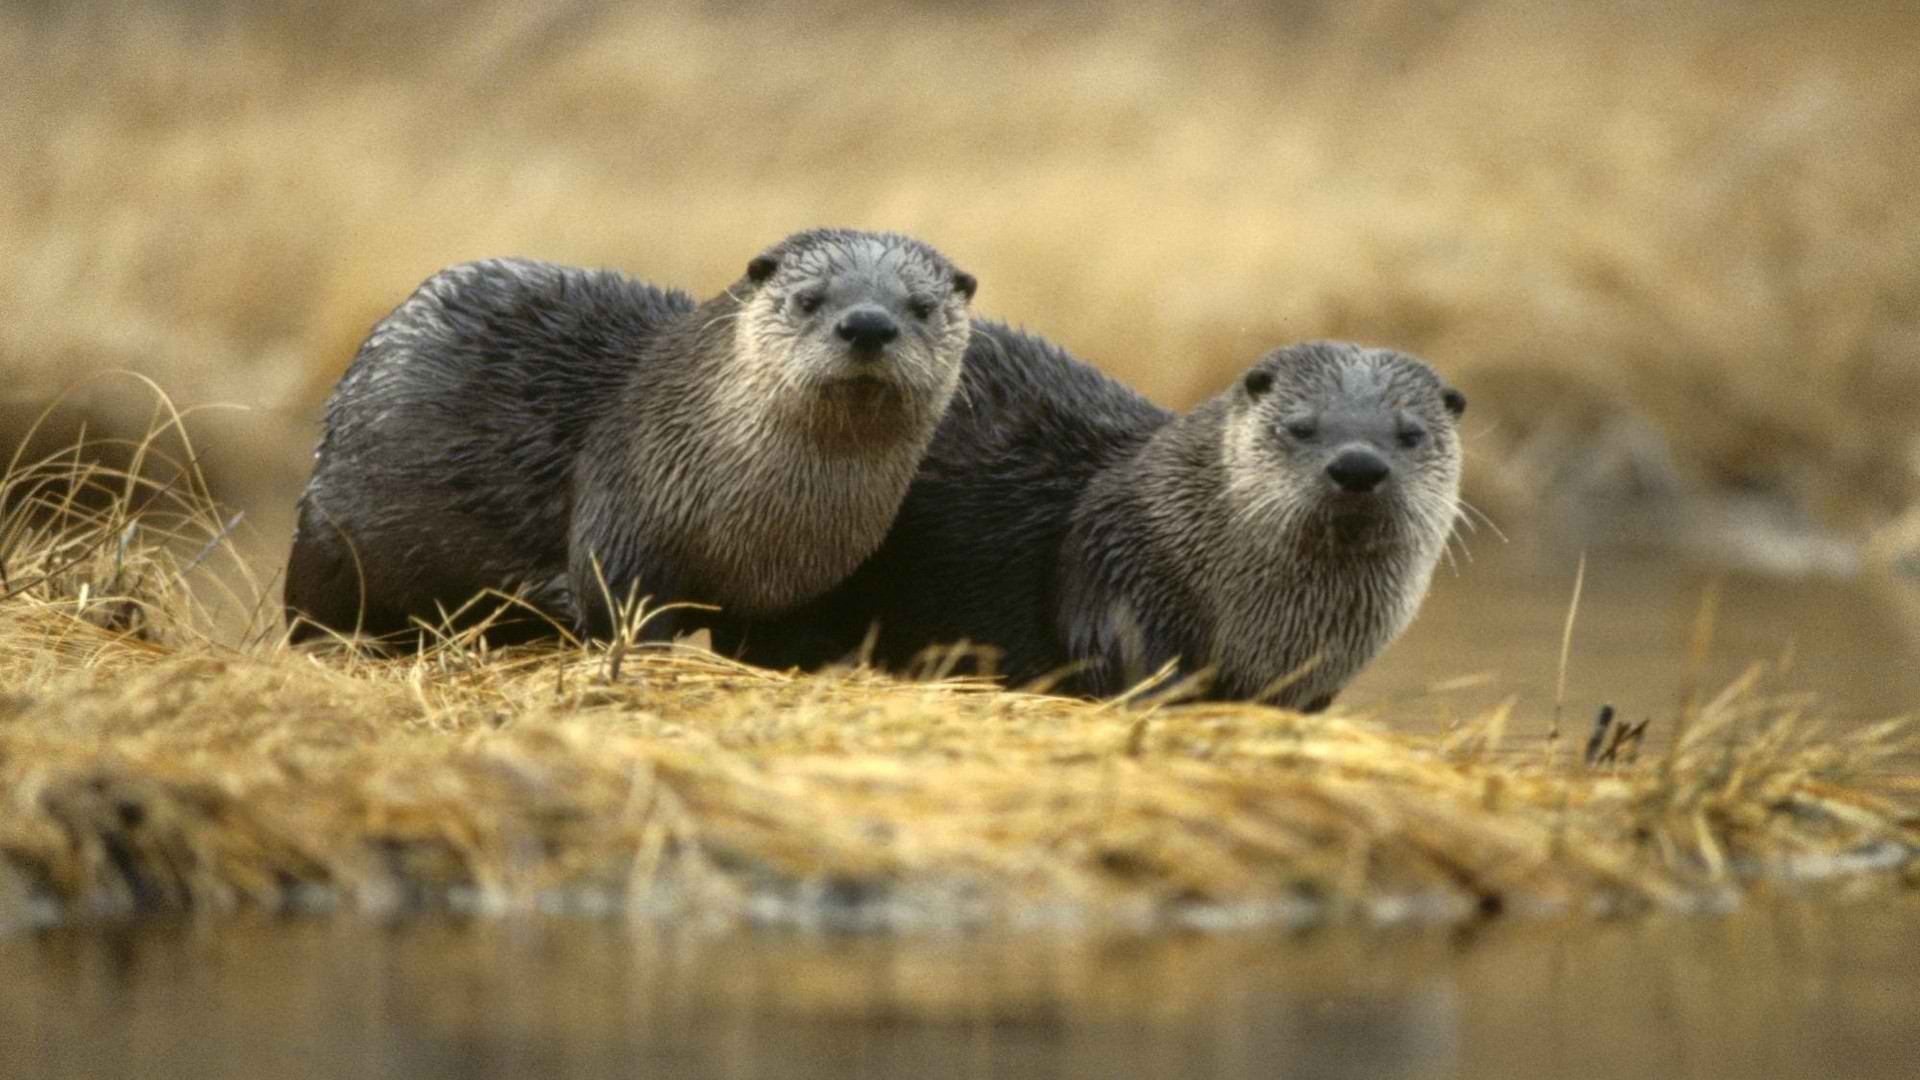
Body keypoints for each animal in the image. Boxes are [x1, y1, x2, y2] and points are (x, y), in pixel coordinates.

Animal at [282, 227, 975, 641]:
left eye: (921, 307)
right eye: (810, 299)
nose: (868, 325)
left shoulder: (795, 592)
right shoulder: (624, 508)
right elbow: (618, 609)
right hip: (327, 538)